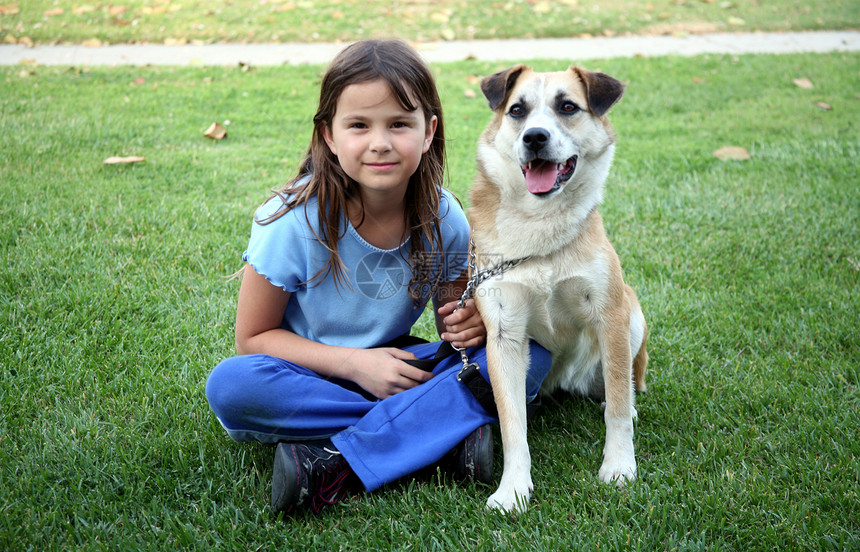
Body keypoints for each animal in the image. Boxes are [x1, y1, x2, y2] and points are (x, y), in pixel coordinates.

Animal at [470, 64, 644, 512]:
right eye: (517, 110)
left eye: (568, 107)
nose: (534, 137)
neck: (540, 226)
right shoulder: (504, 334)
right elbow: (513, 425)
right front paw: (513, 488)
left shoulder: (610, 315)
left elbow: (618, 410)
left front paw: (619, 466)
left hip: (632, 314)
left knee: (626, 382)